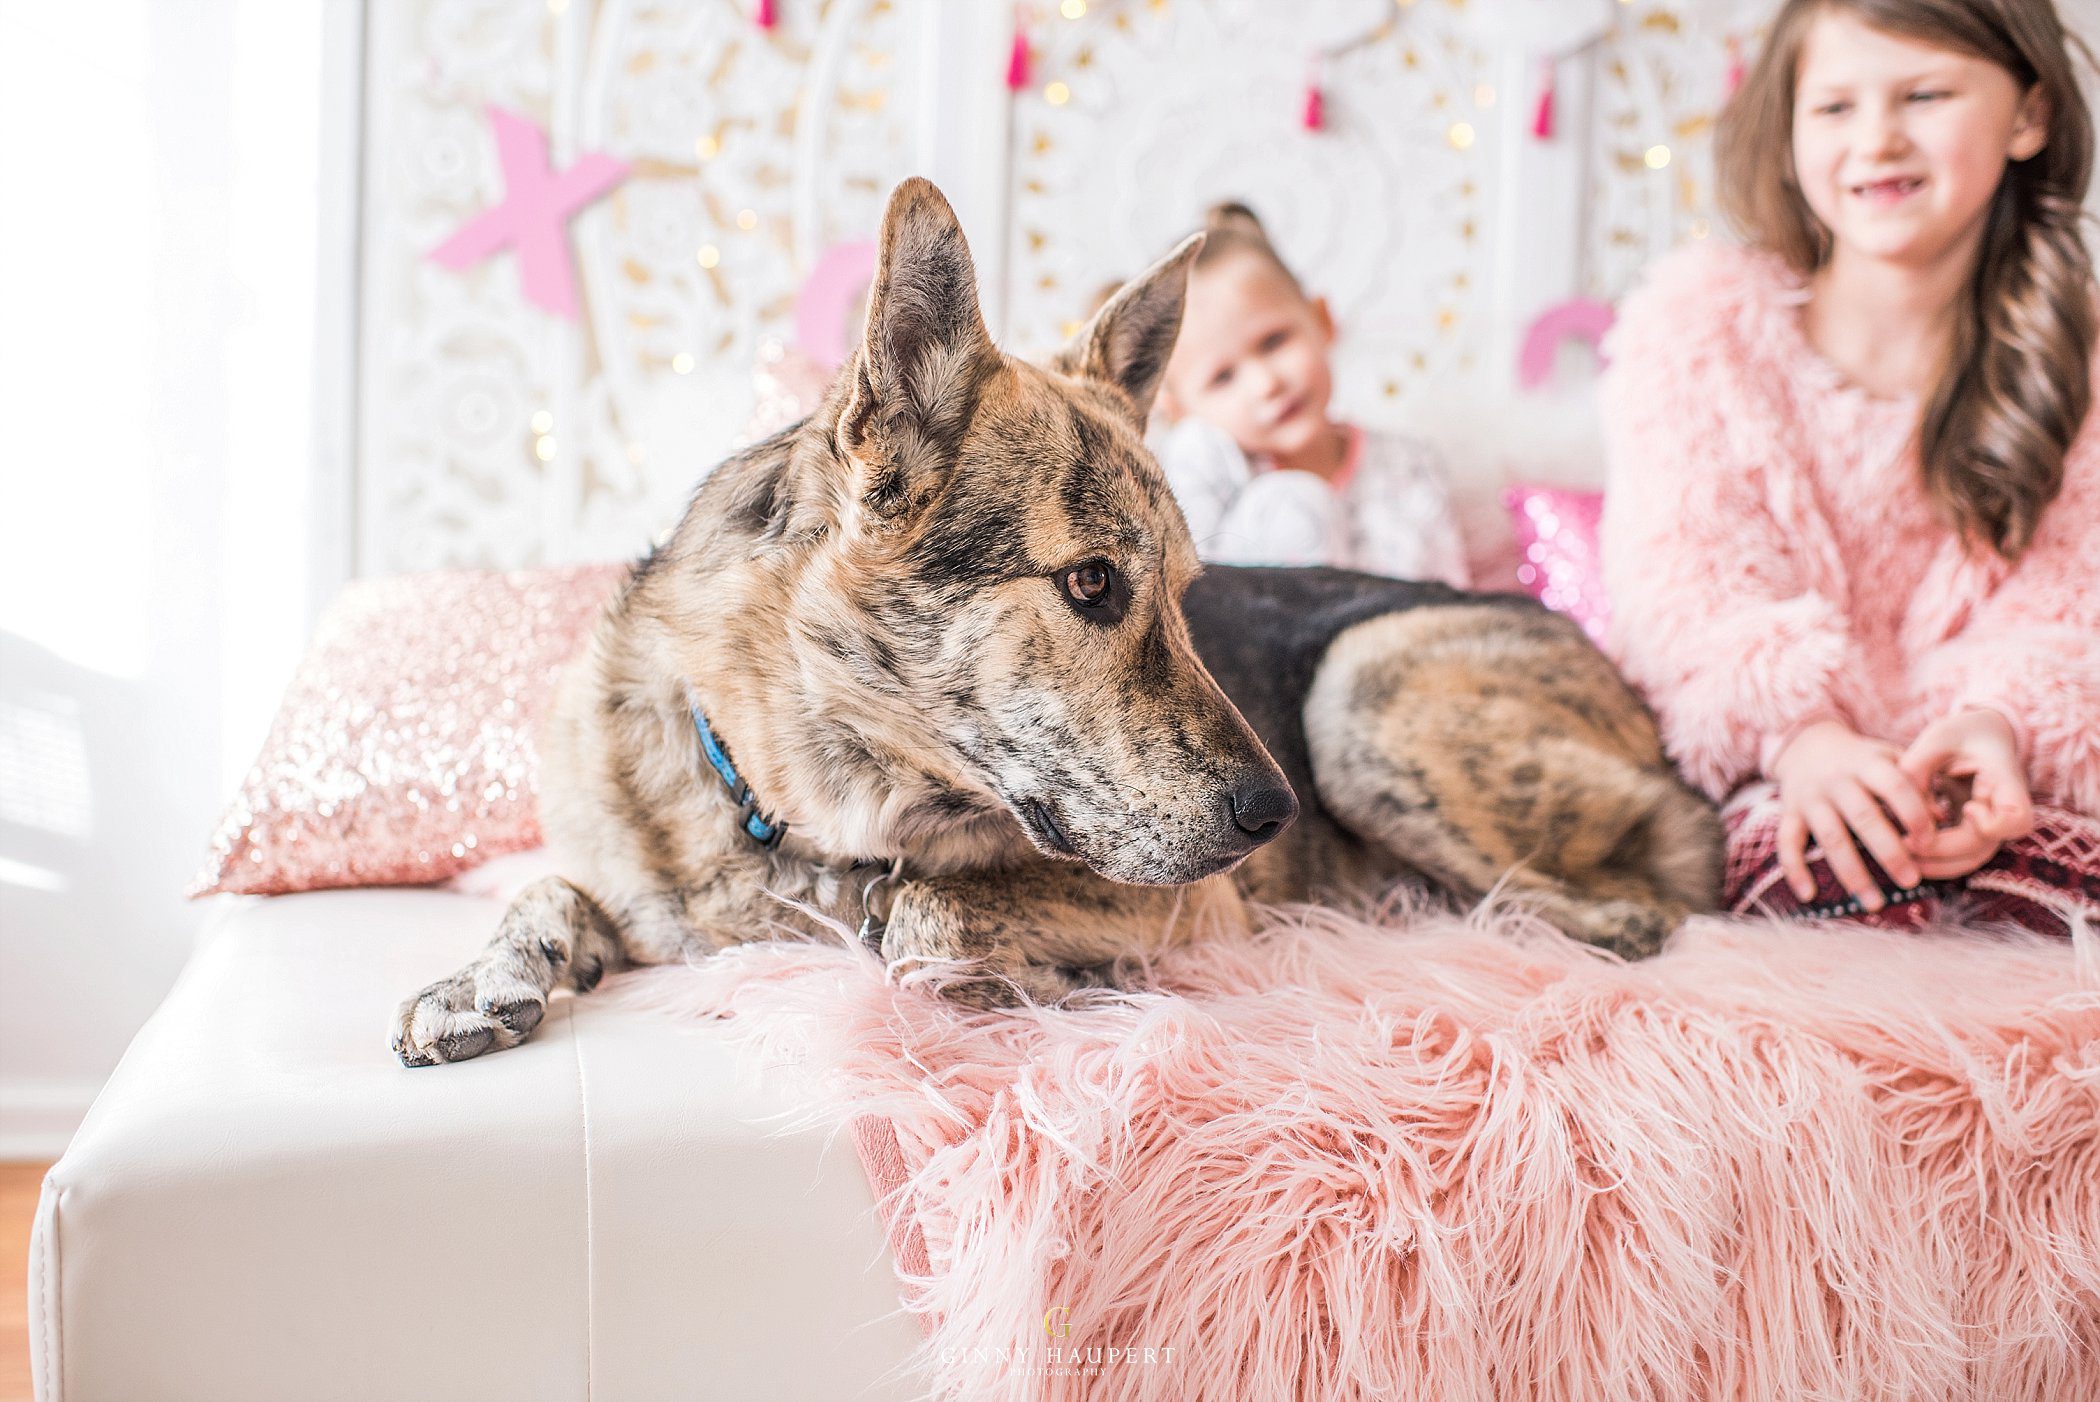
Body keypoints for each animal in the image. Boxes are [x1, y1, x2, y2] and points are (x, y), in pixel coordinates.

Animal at [392, 177, 1722, 1066]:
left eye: (1186, 589)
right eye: (1090, 585)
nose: (1276, 816)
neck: (801, 807)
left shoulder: (1189, 902)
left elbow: (926, 917)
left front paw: (1008, 977)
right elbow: (549, 890)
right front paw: (480, 974)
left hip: (1362, 697)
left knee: (1632, 907)